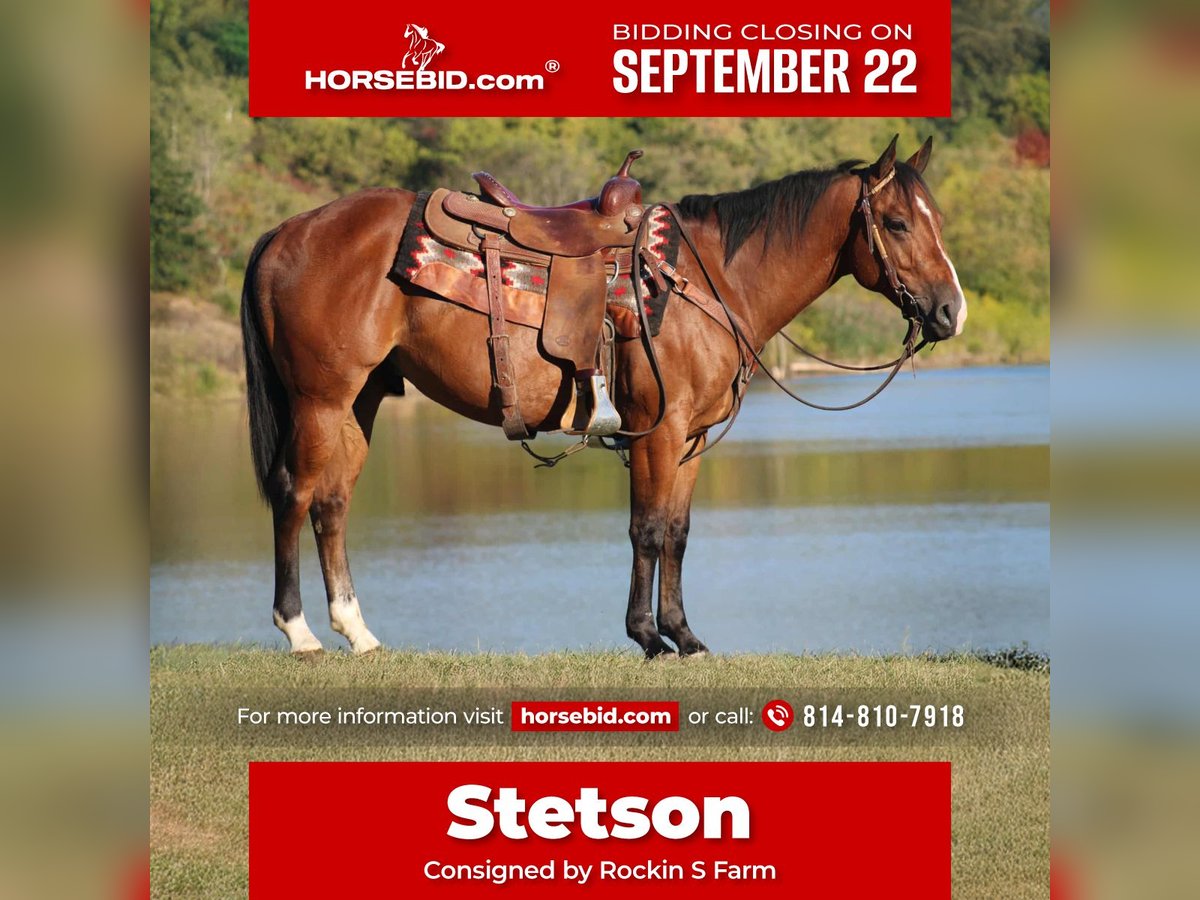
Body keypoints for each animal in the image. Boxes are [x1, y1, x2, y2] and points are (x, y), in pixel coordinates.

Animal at [239, 135, 967, 659]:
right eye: (897, 223)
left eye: (935, 219)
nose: (950, 311)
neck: (707, 281)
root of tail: (287, 230)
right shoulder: (659, 428)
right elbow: (645, 529)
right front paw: (648, 636)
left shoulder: (691, 438)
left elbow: (676, 533)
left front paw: (685, 635)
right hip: (319, 400)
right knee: (296, 495)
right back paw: (299, 633)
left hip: (360, 401)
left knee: (333, 503)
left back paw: (357, 633)